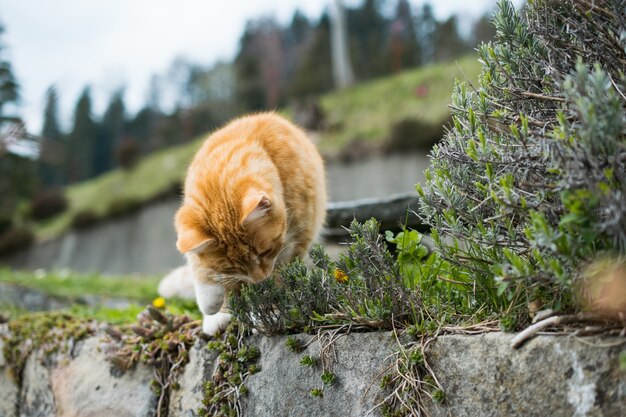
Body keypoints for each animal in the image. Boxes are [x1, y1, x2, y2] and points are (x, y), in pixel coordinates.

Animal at [173, 112, 324, 334]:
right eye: (231, 267)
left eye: (265, 252)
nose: (259, 278)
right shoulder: (185, 221)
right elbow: (199, 264)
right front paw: (211, 301)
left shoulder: (295, 242)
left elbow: (278, 280)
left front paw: (271, 311)